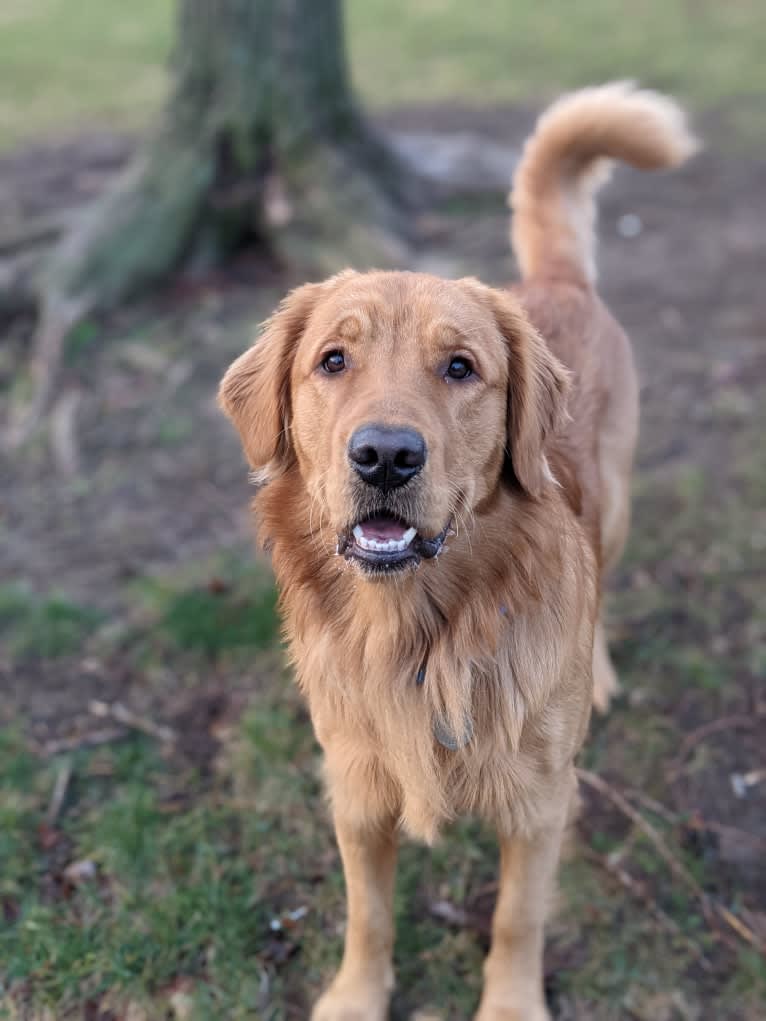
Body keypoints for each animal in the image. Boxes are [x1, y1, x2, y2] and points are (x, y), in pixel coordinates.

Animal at [220, 83, 694, 1016]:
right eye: (333, 359)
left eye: (461, 367)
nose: (385, 455)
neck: (418, 633)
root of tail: (553, 280)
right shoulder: (356, 789)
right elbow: (368, 914)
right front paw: (356, 995)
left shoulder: (541, 801)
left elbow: (516, 918)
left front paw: (510, 1003)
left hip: (617, 506)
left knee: (606, 582)